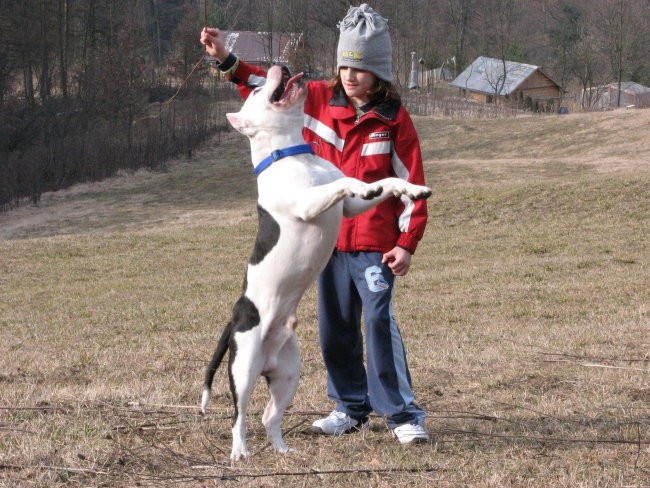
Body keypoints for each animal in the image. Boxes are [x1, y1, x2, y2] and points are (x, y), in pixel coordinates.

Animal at [199, 66, 430, 462]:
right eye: (256, 91)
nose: (277, 67)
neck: (290, 152)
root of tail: (234, 318)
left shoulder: (348, 208)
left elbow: (384, 180)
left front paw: (410, 189)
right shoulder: (308, 204)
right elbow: (350, 183)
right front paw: (366, 186)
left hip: (288, 373)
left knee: (269, 416)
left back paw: (283, 450)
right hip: (244, 367)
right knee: (239, 415)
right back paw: (240, 451)